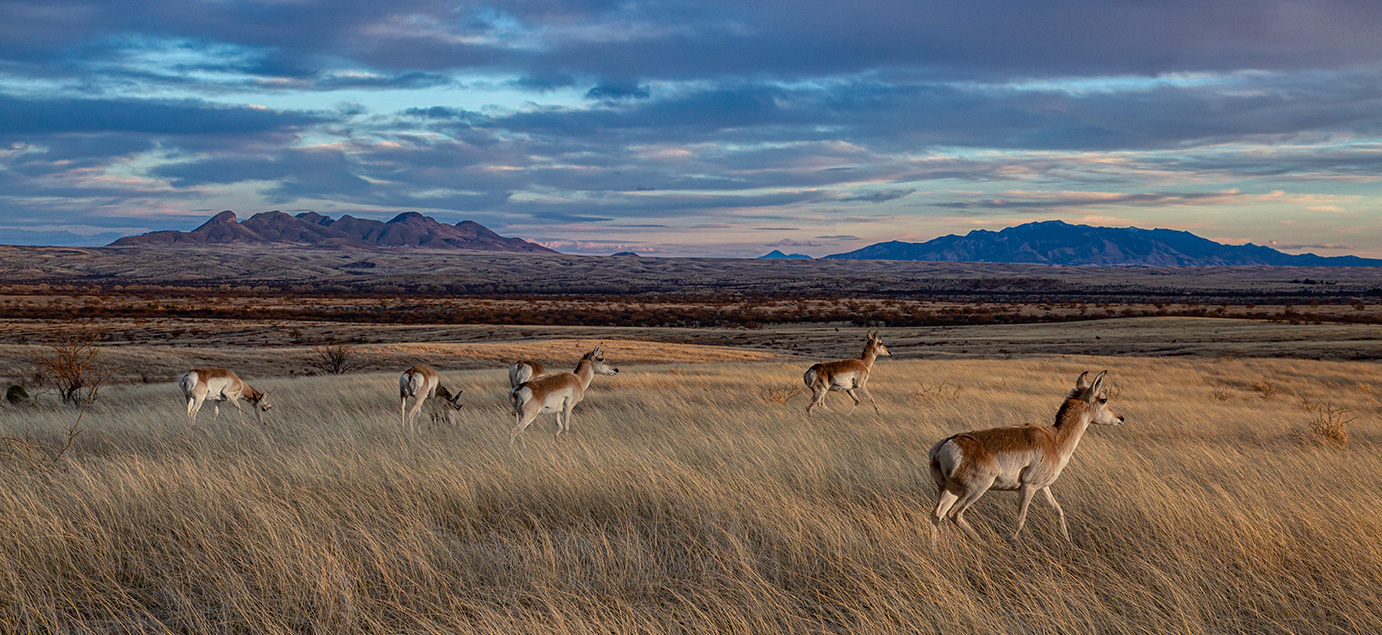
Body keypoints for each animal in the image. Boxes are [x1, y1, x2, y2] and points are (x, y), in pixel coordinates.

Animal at [926, 370, 1124, 548]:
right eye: (1103, 399)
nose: (1121, 418)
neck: (1054, 439)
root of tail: (944, 445)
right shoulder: (1028, 487)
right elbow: (1020, 521)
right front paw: (1011, 543)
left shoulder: (1043, 487)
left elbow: (1058, 509)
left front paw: (1068, 542)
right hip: (975, 489)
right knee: (954, 514)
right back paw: (987, 544)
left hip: (951, 490)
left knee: (937, 514)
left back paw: (934, 550)